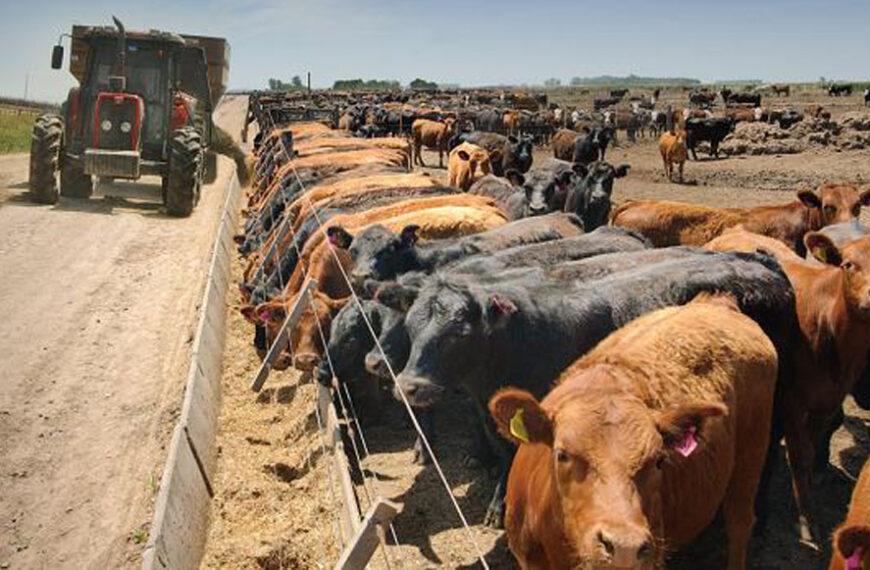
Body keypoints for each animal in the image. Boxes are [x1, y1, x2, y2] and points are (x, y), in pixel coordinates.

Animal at [490, 296, 776, 564]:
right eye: (562, 455)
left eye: (659, 461)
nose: (623, 547)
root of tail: (717, 303)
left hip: (751, 454)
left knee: (739, 522)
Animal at [712, 227, 870, 540]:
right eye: (849, 264)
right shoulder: (790, 399)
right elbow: (800, 453)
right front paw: (806, 517)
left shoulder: (828, 402)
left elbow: (812, 445)